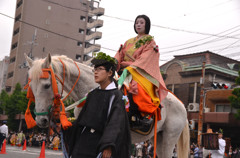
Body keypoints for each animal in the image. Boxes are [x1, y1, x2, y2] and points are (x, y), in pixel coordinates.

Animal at [24, 53, 189, 157]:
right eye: (31, 87)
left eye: (46, 85)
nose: (41, 120)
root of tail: (181, 105)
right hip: (160, 137)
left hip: (169, 137)